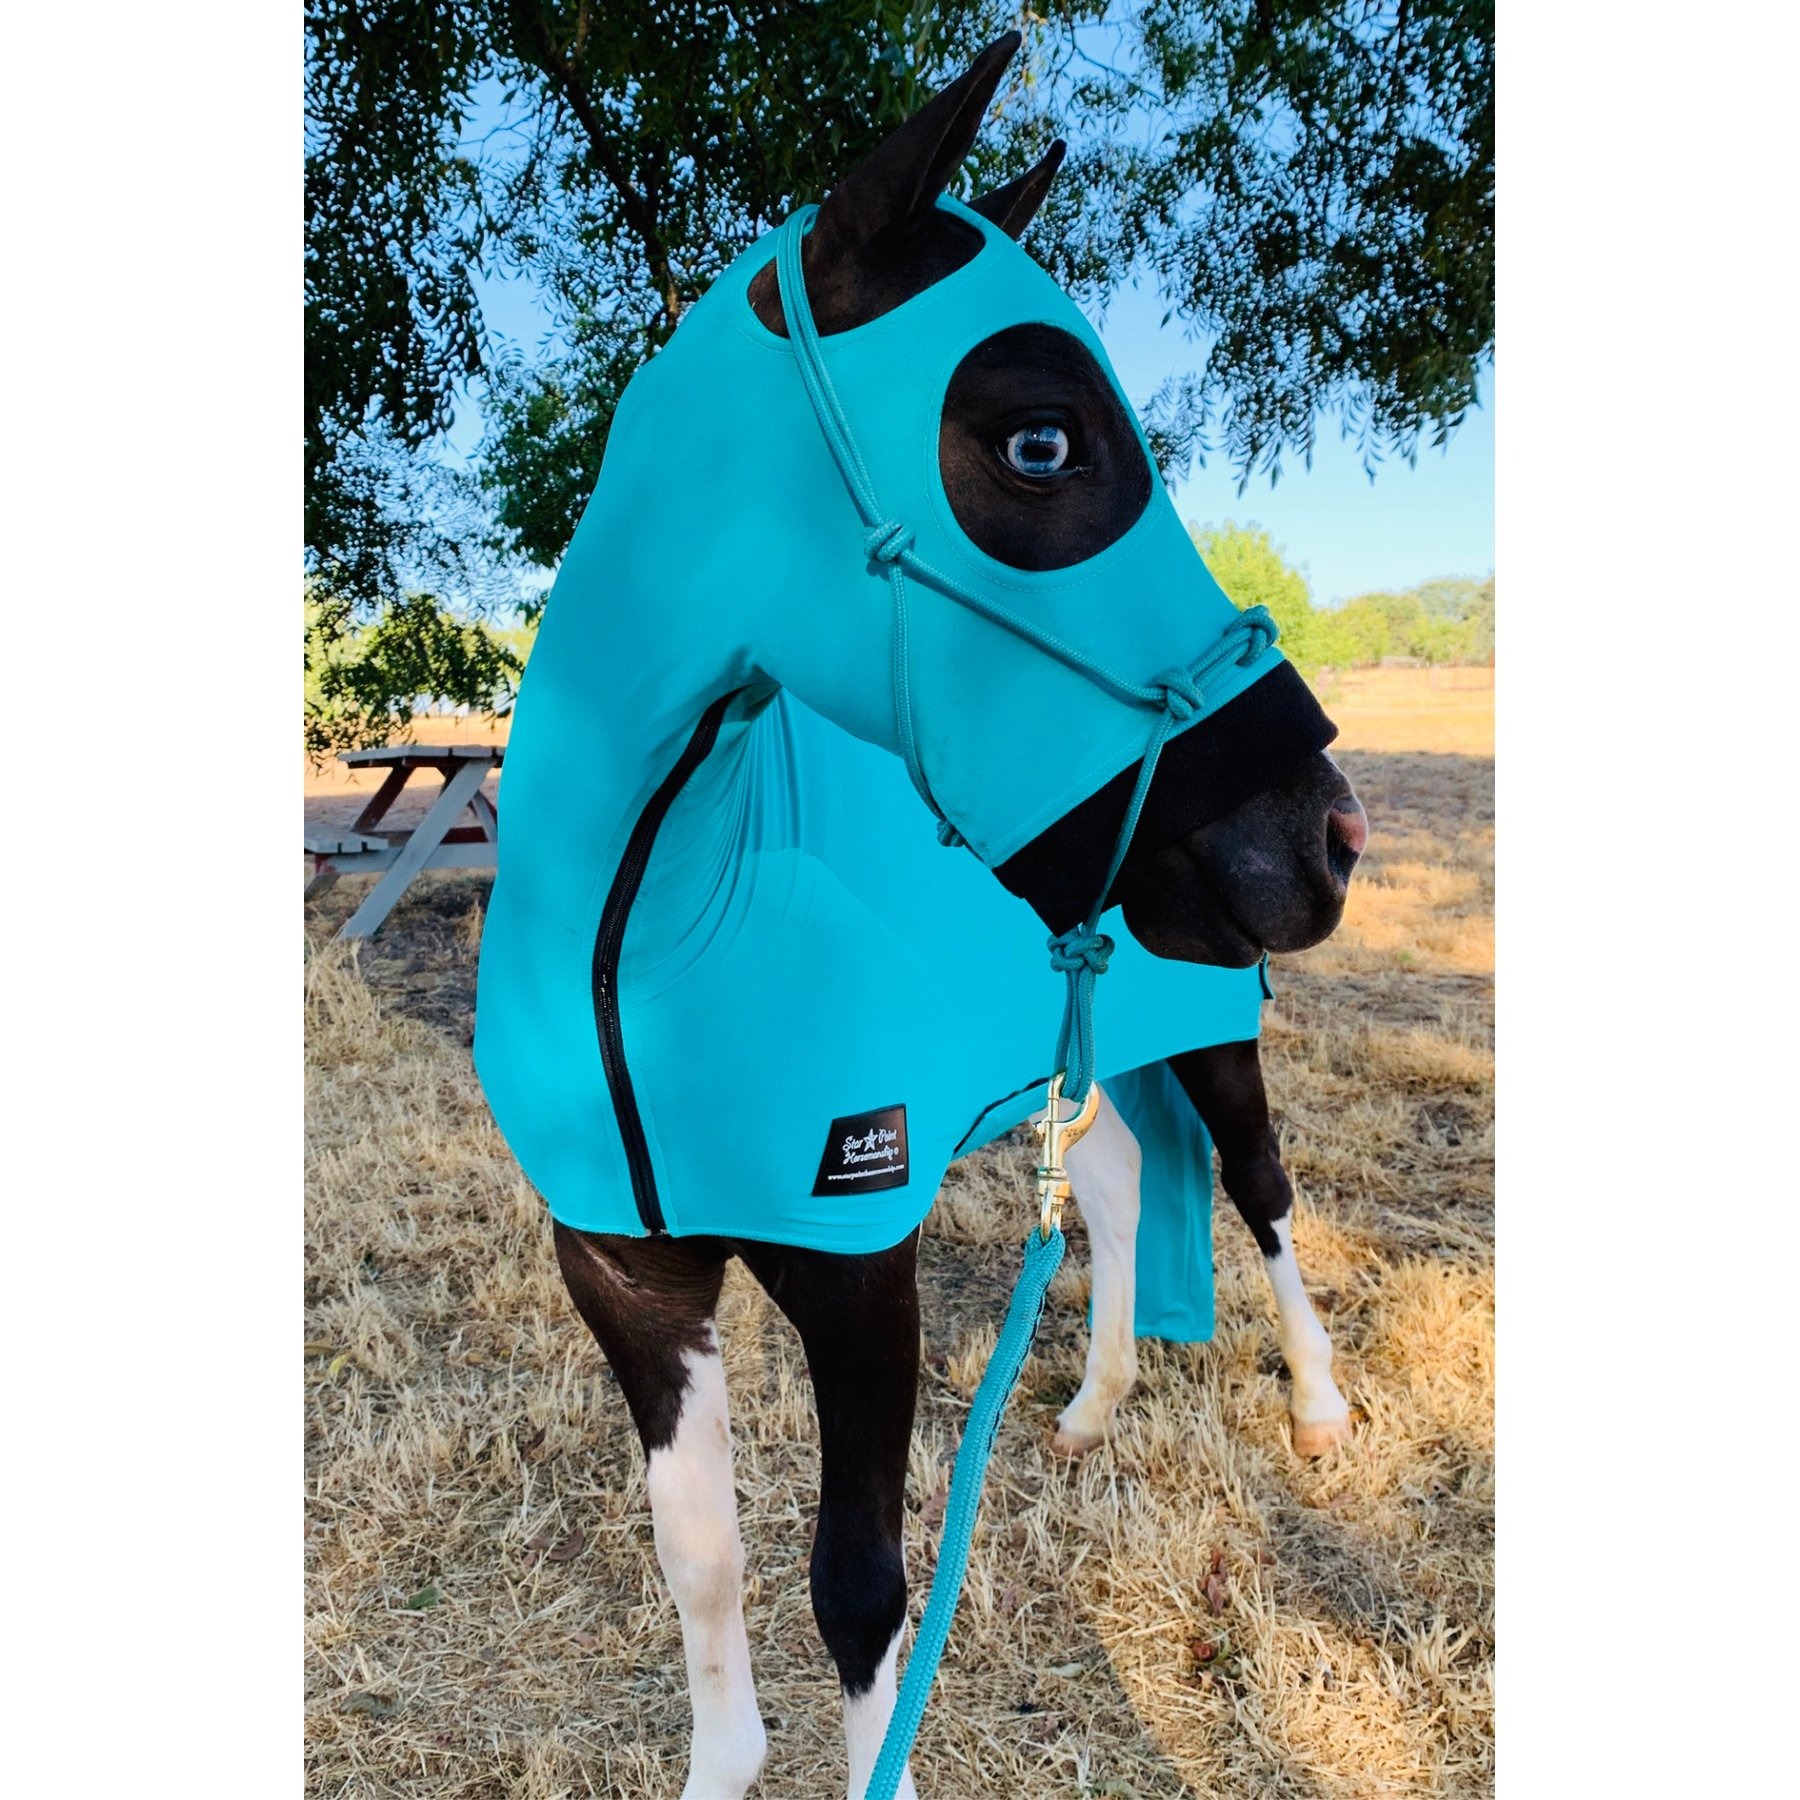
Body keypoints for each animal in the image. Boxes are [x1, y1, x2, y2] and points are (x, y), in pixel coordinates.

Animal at [473, 33, 1365, 1800]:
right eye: (1040, 443)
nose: (1329, 836)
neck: (646, 937)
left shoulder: (853, 1265)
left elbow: (863, 1591)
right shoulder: (622, 1268)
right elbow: (701, 1561)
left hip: (1215, 1048)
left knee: (1261, 1198)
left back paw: (1314, 1411)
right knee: (1114, 1190)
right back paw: (1086, 1412)